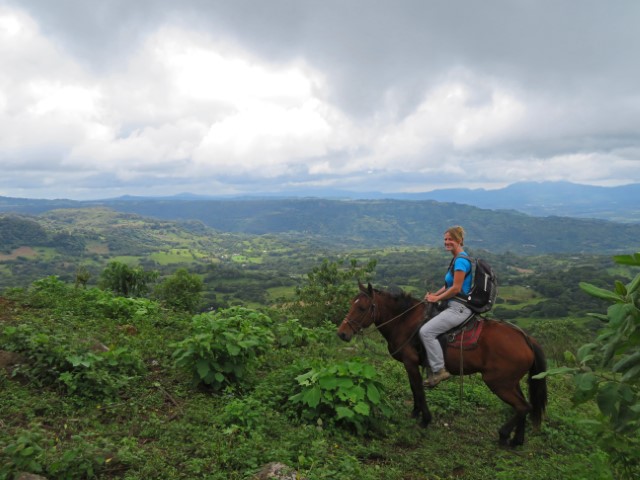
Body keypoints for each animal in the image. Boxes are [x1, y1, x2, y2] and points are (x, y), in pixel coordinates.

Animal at [338, 284, 548, 446]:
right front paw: (415, 413)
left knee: (522, 407)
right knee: (526, 405)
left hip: (498, 382)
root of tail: (525, 339)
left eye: (362, 308)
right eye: (351, 304)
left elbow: (418, 389)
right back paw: (517, 440)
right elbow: (413, 388)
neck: (404, 321)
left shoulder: (410, 362)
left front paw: (425, 419)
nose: (342, 333)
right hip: (510, 382)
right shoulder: (411, 364)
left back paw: (504, 435)